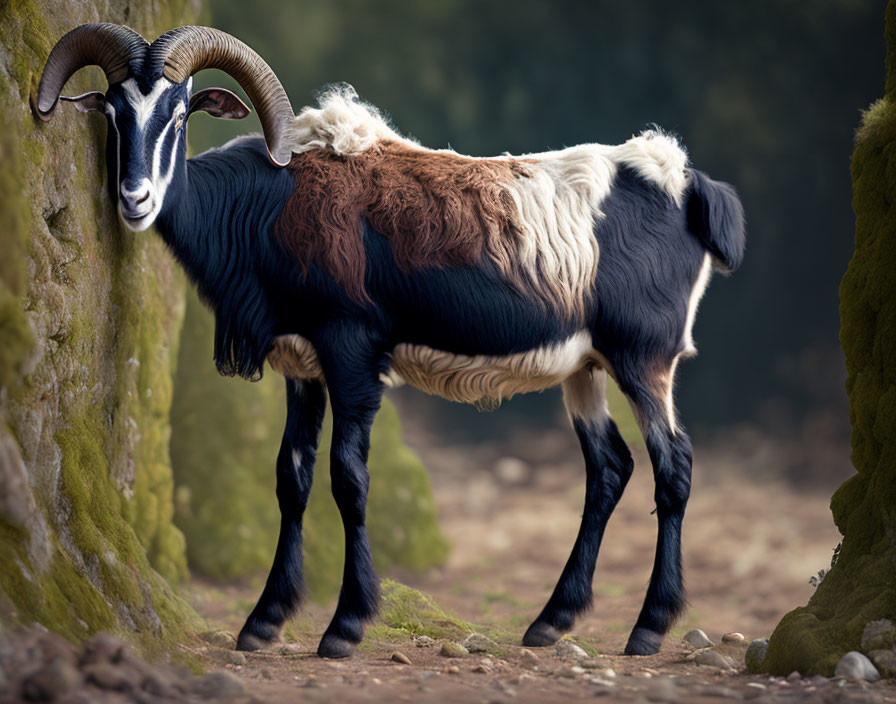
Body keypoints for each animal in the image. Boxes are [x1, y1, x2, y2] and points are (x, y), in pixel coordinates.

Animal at [36, 23, 744, 660]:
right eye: (112, 109)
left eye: (180, 113)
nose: (135, 199)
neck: (271, 200)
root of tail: (687, 183)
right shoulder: (303, 365)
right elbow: (290, 476)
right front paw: (262, 622)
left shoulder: (351, 351)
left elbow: (348, 477)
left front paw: (344, 628)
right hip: (584, 368)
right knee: (609, 468)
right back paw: (550, 622)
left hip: (643, 359)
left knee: (674, 464)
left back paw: (648, 629)